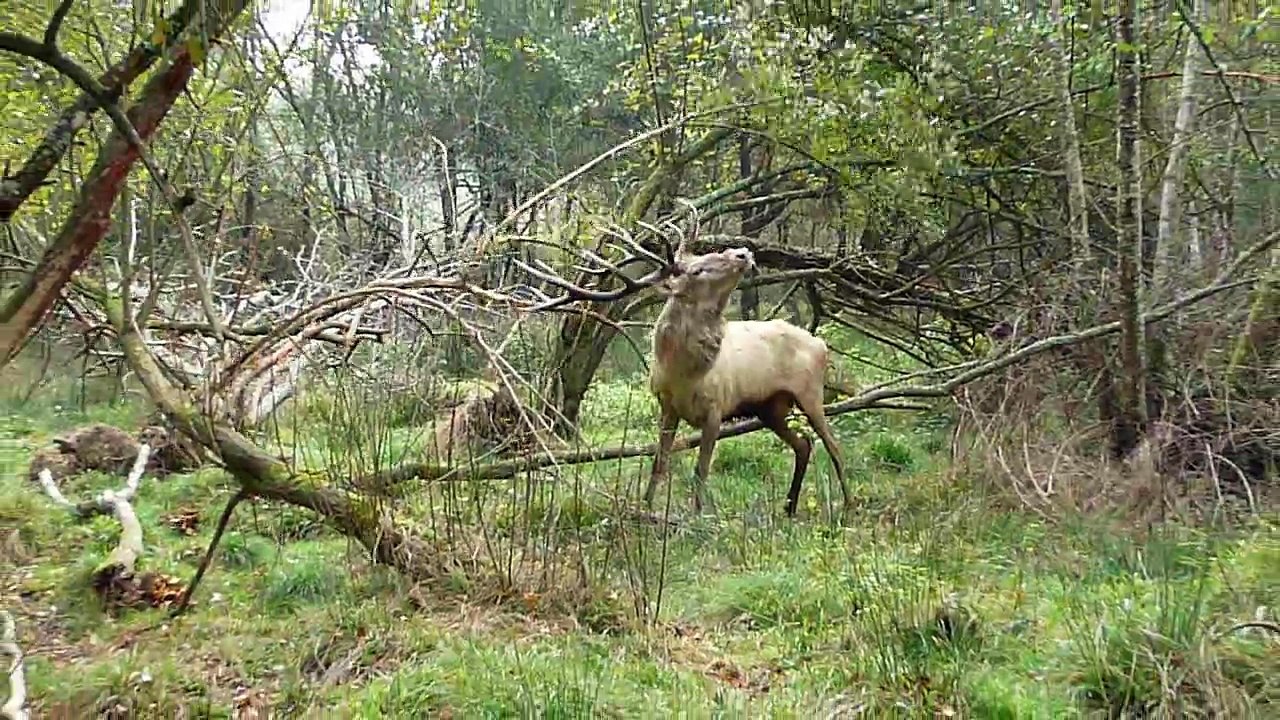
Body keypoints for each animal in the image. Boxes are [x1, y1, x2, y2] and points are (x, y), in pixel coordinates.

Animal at [643, 240, 852, 518]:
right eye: (697, 270)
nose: (742, 253)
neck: (681, 375)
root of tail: (821, 345)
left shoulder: (716, 409)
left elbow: (701, 470)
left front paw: (697, 516)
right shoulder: (667, 407)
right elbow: (659, 461)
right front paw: (643, 507)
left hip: (810, 394)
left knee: (834, 446)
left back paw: (849, 504)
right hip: (770, 408)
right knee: (803, 444)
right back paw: (789, 506)